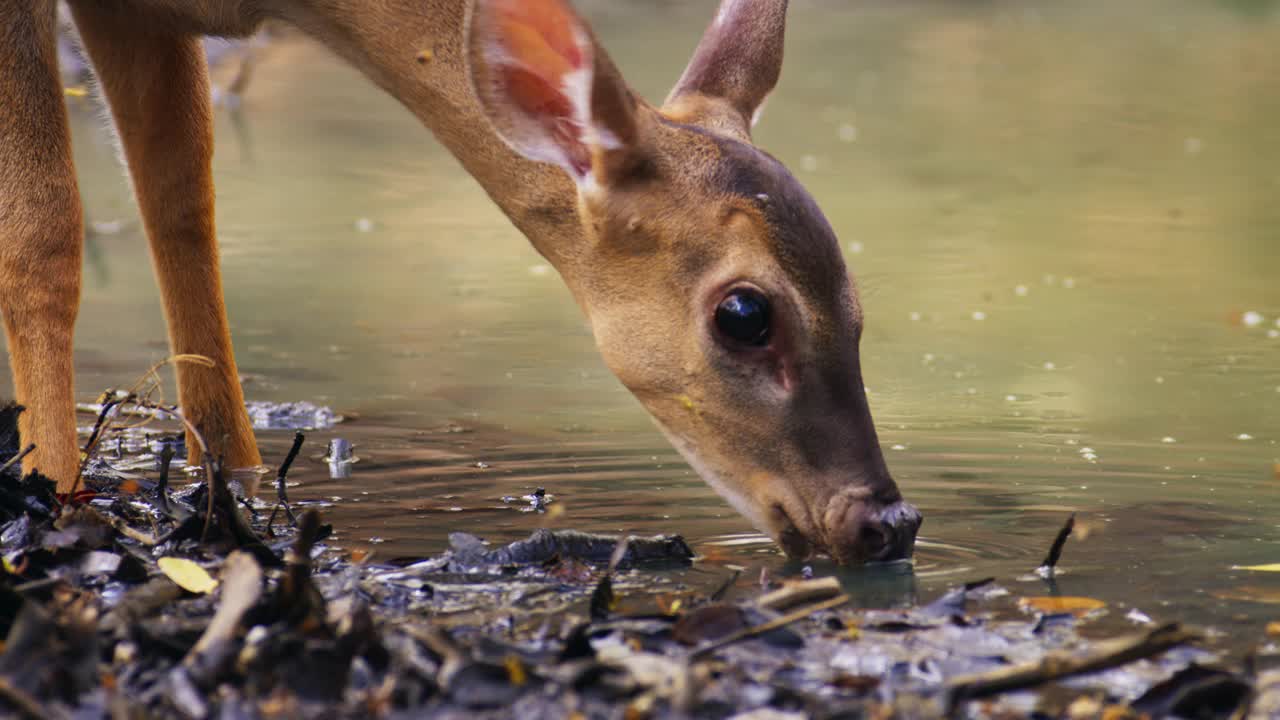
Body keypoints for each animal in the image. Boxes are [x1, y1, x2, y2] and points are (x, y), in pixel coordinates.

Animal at [0, 0, 921, 561]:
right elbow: (43, 230)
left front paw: (230, 485)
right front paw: (59, 497)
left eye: (857, 304)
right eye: (745, 313)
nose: (888, 520)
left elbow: (182, 202)